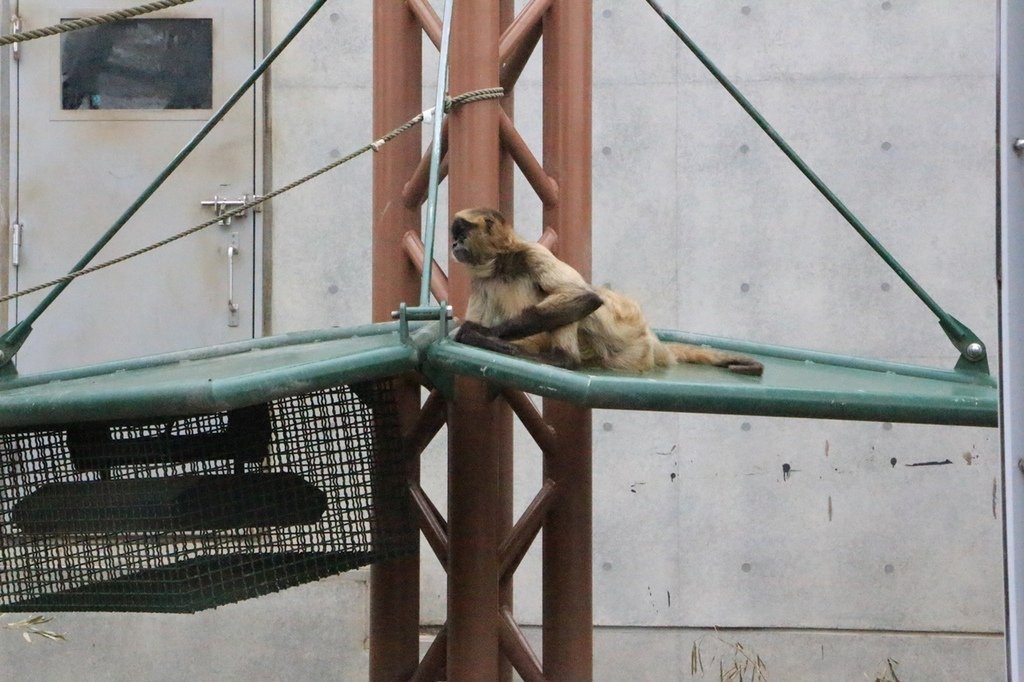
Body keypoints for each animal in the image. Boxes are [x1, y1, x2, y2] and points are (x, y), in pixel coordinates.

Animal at [452, 206, 765, 376]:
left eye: (461, 234)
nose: (454, 245)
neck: (502, 265)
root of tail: (649, 340)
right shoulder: (480, 279)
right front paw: (475, 333)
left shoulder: (533, 252)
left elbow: (584, 296)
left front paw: (484, 334)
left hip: (625, 333)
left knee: (583, 300)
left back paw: (562, 359)